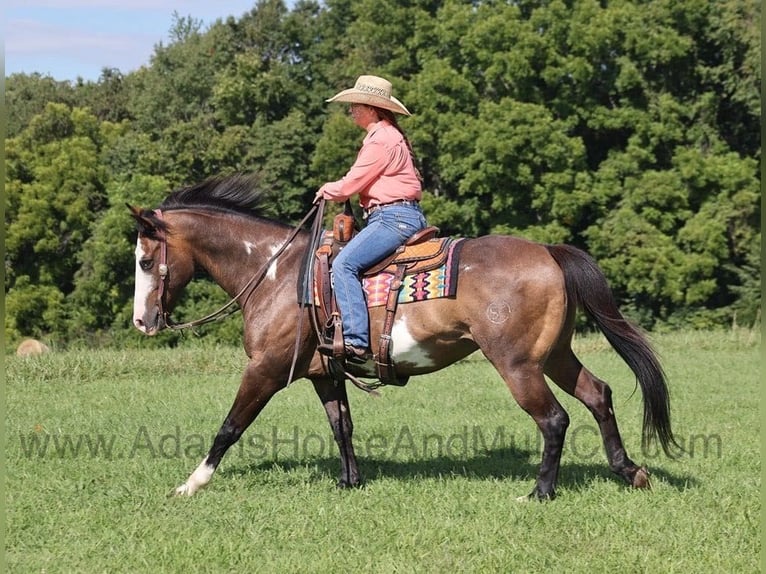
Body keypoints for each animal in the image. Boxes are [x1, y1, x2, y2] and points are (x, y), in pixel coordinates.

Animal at [129, 174, 678, 500]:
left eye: (145, 261)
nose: (141, 322)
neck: (278, 275)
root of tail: (548, 251)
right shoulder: (323, 372)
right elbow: (342, 427)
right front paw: (350, 481)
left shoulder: (265, 368)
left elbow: (230, 426)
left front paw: (191, 483)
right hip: (556, 356)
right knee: (598, 395)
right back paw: (630, 471)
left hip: (518, 364)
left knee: (554, 419)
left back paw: (540, 492)